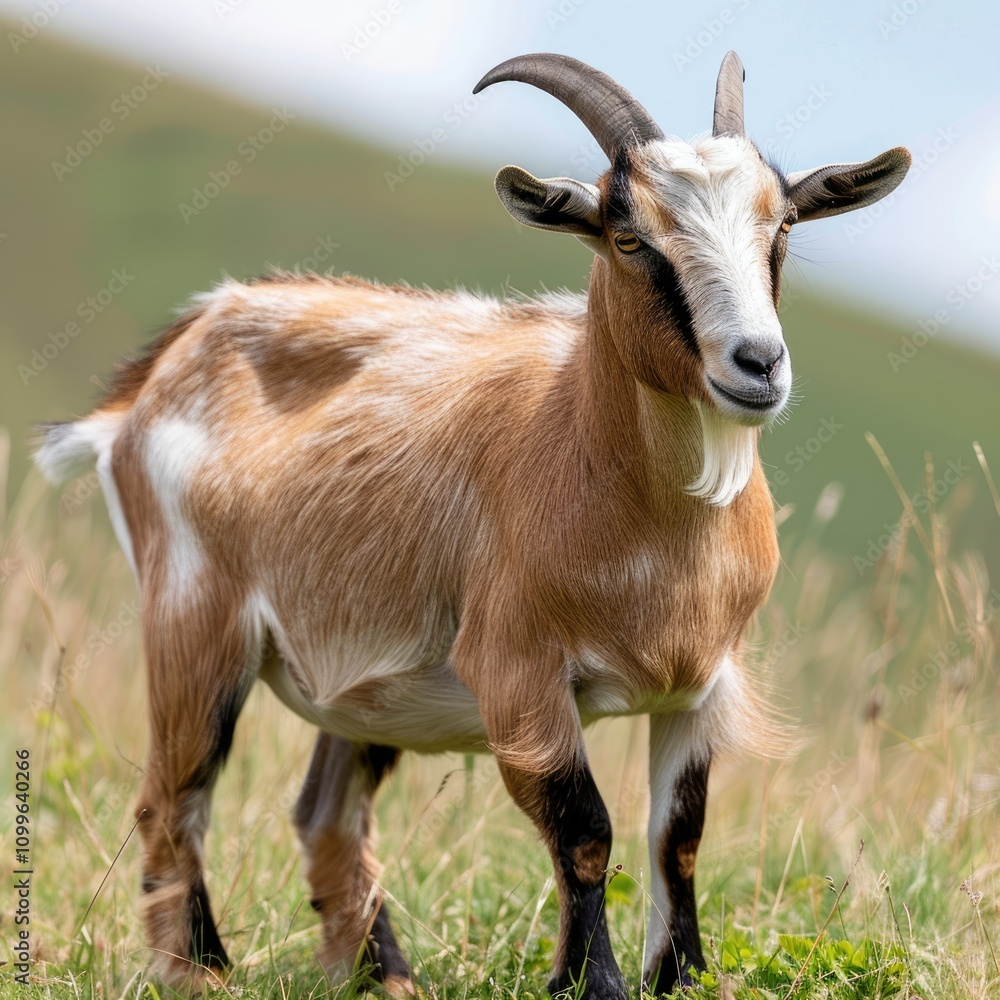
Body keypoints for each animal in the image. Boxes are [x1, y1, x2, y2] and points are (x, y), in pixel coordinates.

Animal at [36, 52, 909, 998]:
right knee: (174, 797)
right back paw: (200, 972)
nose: (757, 364)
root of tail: (168, 361)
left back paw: (385, 977)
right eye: (628, 235)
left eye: (782, 223)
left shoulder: (701, 684)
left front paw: (681, 978)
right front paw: (592, 984)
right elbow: (587, 832)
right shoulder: (518, 675)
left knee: (327, 814)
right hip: (194, 622)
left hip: (369, 684)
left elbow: (676, 837)